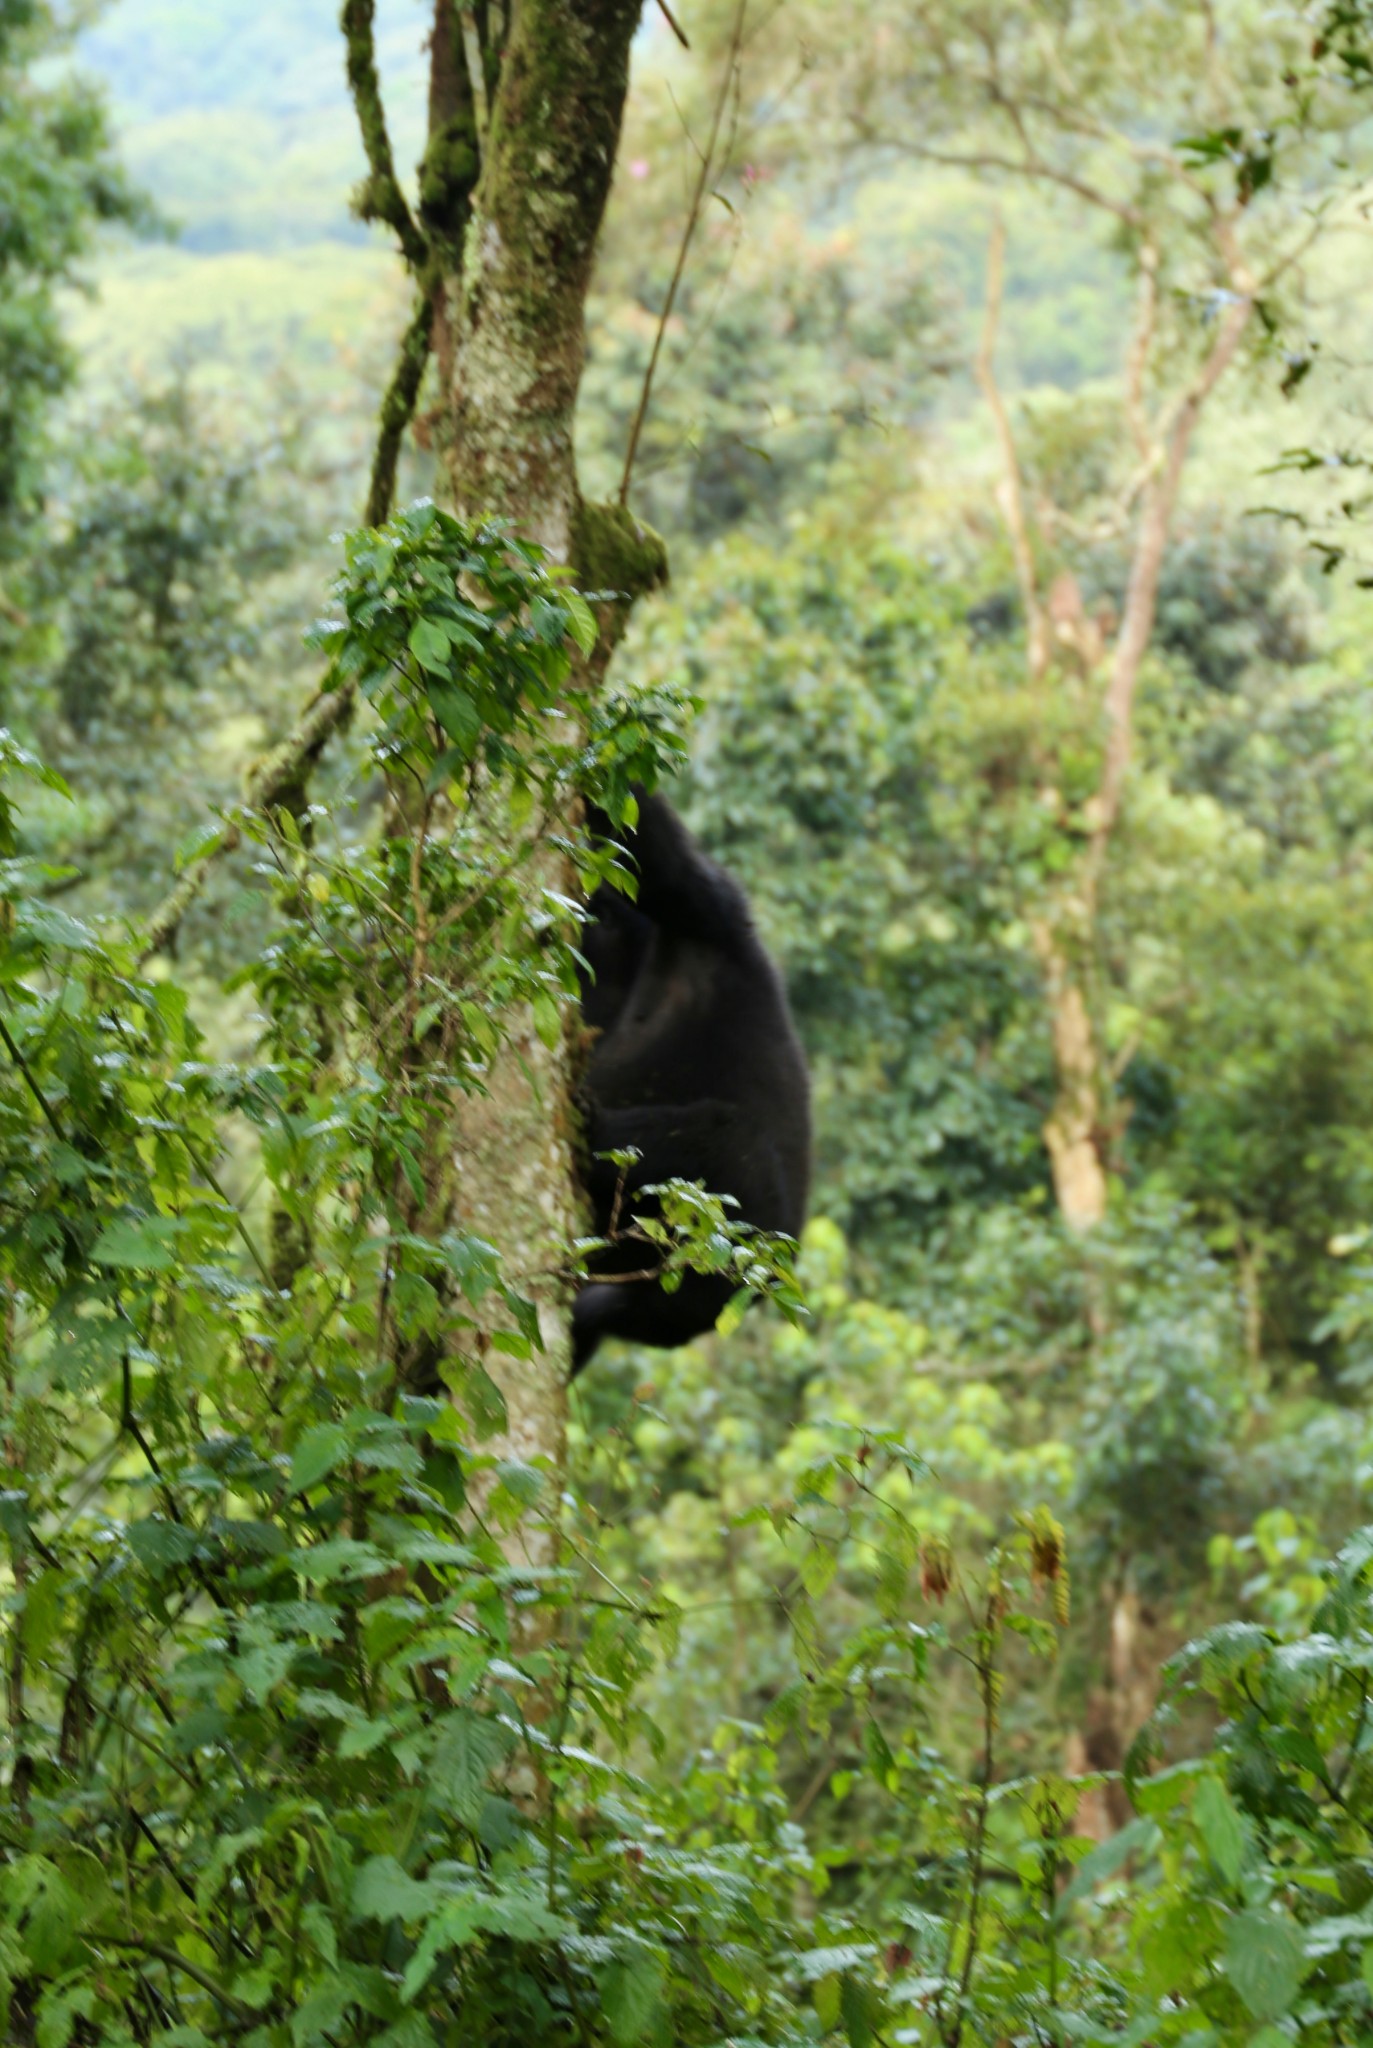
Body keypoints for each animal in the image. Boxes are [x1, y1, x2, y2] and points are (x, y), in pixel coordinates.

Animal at [573, 786, 811, 1376]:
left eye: (602, 912)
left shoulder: (710, 923)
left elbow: (660, 857)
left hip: (734, 1235)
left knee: (725, 1142)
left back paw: (591, 1129)